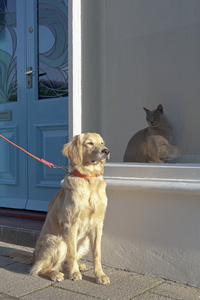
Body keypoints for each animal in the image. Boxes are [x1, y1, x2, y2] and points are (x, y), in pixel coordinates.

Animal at [3, 132, 111, 284]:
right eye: (89, 143)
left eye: (102, 143)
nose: (106, 151)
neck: (88, 179)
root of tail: (34, 256)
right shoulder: (71, 224)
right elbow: (71, 254)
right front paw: (74, 273)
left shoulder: (97, 225)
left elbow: (97, 254)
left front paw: (100, 275)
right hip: (58, 242)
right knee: (39, 269)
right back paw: (56, 274)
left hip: (84, 243)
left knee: (62, 264)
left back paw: (77, 266)